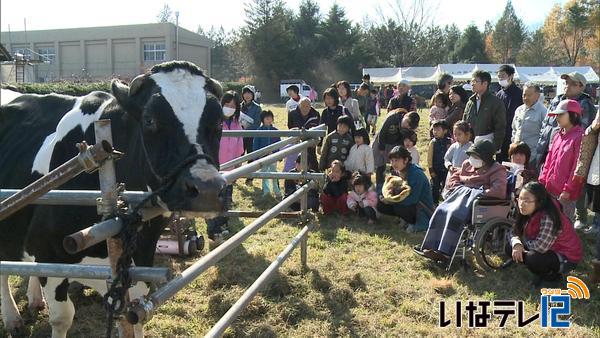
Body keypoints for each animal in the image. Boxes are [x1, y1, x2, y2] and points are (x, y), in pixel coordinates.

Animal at [0, 61, 225, 338]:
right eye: (149, 119)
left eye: (219, 121)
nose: (207, 189)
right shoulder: (49, 256)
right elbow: (62, 318)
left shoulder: (136, 267)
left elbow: (133, 318)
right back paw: (12, 318)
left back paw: (34, 300)